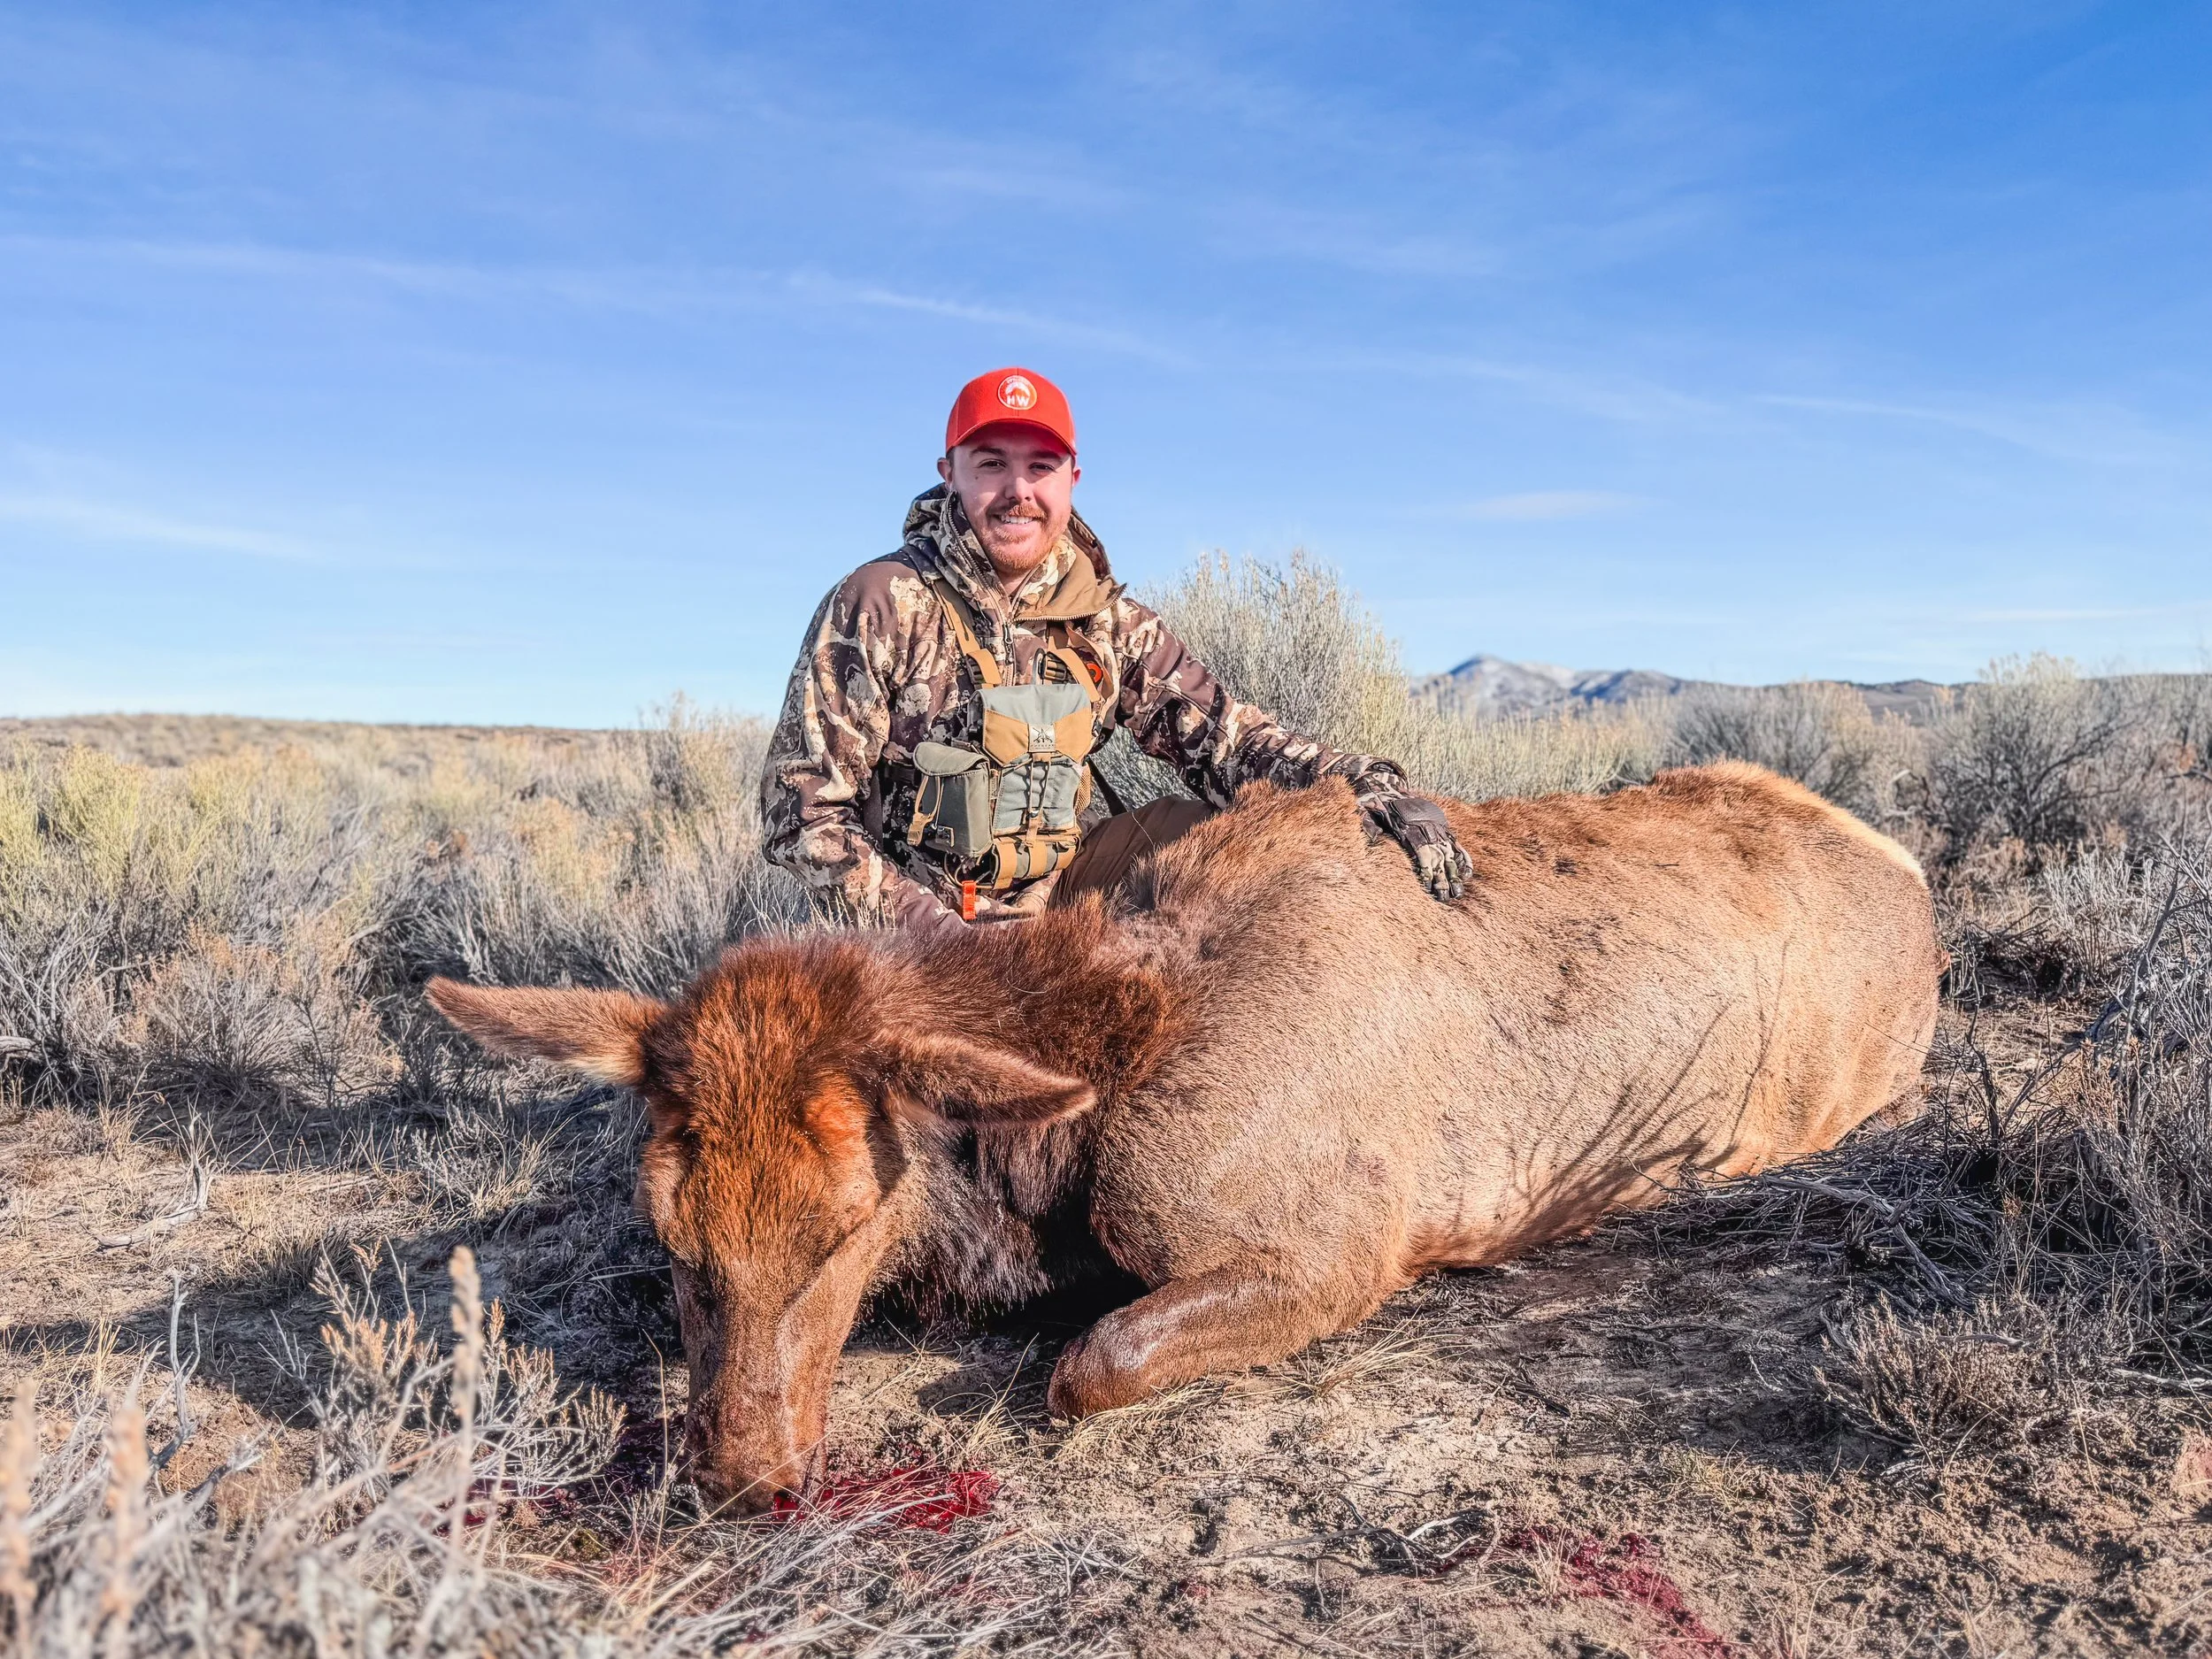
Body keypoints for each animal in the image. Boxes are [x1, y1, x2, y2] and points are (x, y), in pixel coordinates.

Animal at [429, 762, 1942, 1512]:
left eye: (849, 1219)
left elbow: (1084, 1362)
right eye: (671, 1229)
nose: (746, 1474)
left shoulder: (1339, 1246)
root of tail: (1913, 871)